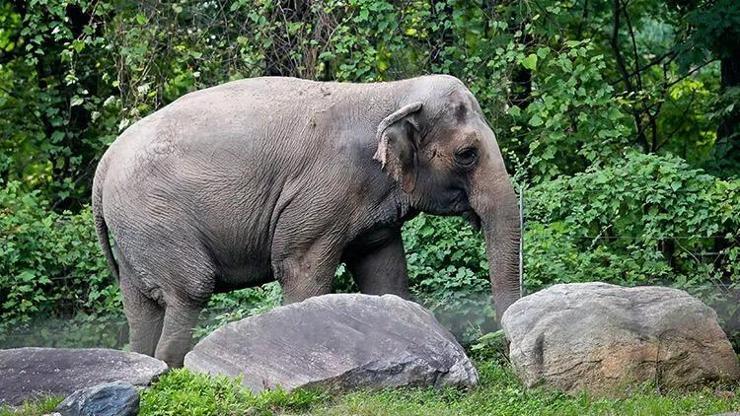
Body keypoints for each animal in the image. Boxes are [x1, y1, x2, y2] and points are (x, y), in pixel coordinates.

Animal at [92, 75, 520, 368]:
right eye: (467, 154)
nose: (504, 348)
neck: (389, 93)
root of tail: (104, 164)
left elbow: (385, 274)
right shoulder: (323, 193)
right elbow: (301, 269)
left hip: (134, 233)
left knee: (140, 308)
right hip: (156, 220)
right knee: (189, 291)